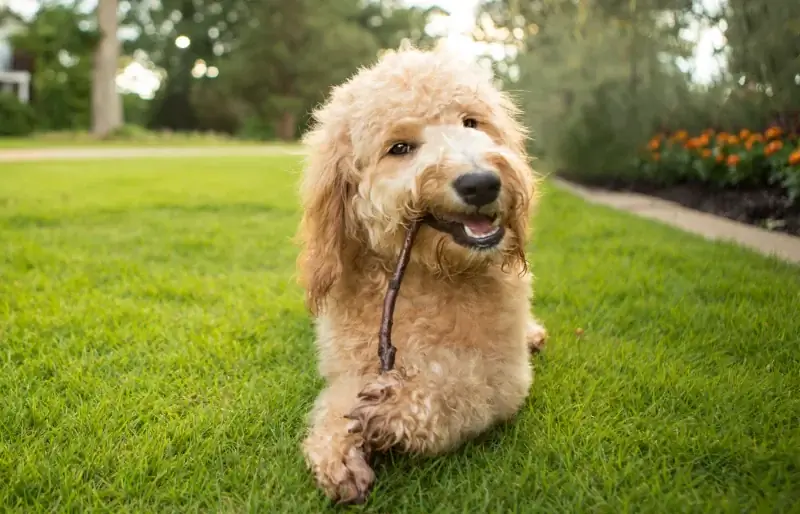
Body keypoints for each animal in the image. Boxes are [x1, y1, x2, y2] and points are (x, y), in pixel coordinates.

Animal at [296, 45, 548, 504]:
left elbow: (462, 390)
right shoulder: (350, 368)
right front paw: (338, 449)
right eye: (400, 147)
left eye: (471, 122)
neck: (428, 274)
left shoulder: (505, 376)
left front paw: (396, 409)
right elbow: (336, 404)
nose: (481, 183)